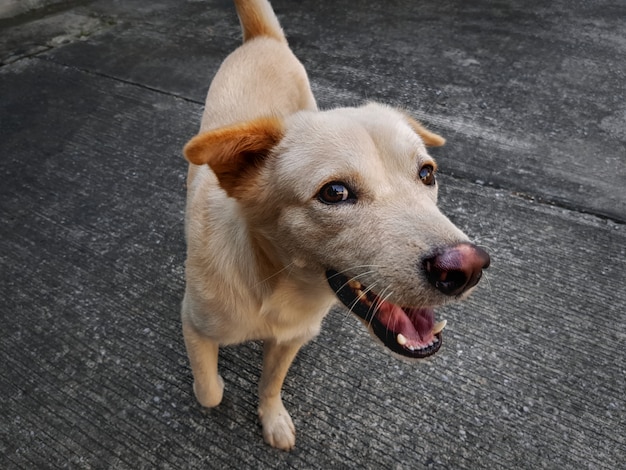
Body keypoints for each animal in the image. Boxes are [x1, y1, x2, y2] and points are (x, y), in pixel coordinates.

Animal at [179, 0, 488, 450]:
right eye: (335, 192)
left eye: (427, 173)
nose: (467, 267)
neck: (276, 283)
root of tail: (262, 39)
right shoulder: (194, 325)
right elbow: (209, 392)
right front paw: (218, 384)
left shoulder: (291, 338)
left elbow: (271, 384)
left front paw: (273, 417)